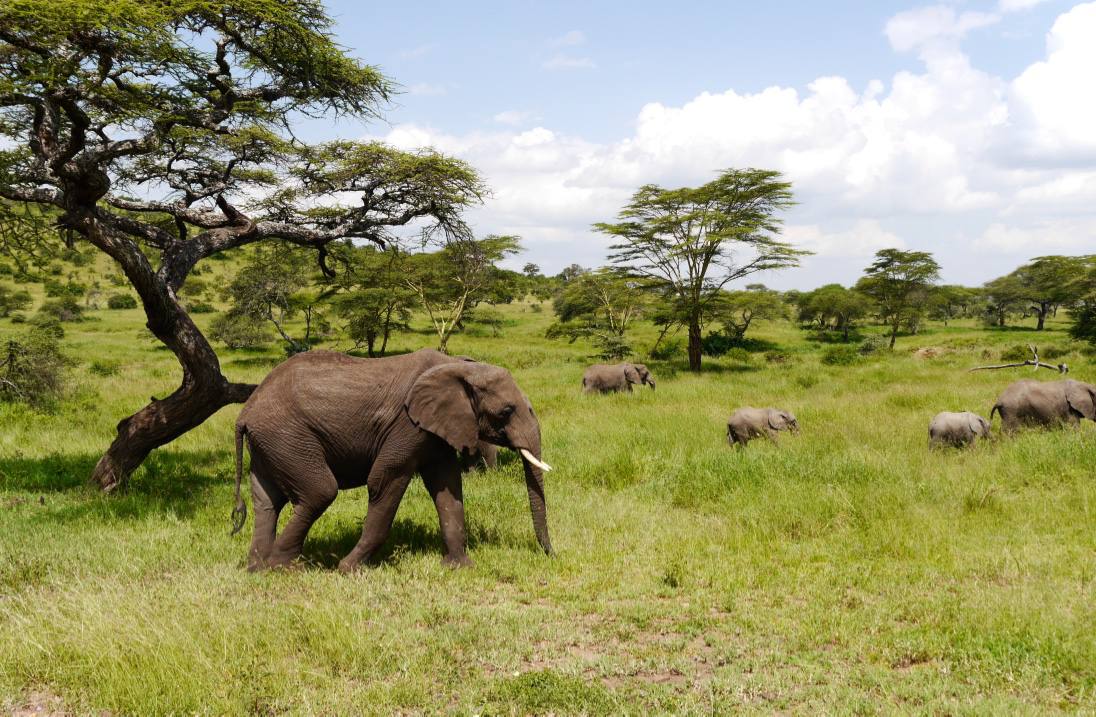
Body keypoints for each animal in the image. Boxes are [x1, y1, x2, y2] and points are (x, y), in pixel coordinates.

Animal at [234, 348, 552, 574]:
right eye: (506, 411)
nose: (550, 554)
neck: (457, 365)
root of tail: (245, 412)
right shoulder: (406, 425)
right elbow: (384, 481)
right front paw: (348, 570)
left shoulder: (435, 430)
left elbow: (448, 488)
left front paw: (460, 567)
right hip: (287, 437)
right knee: (319, 491)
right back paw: (283, 568)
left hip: (271, 443)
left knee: (267, 502)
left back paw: (257, 568)